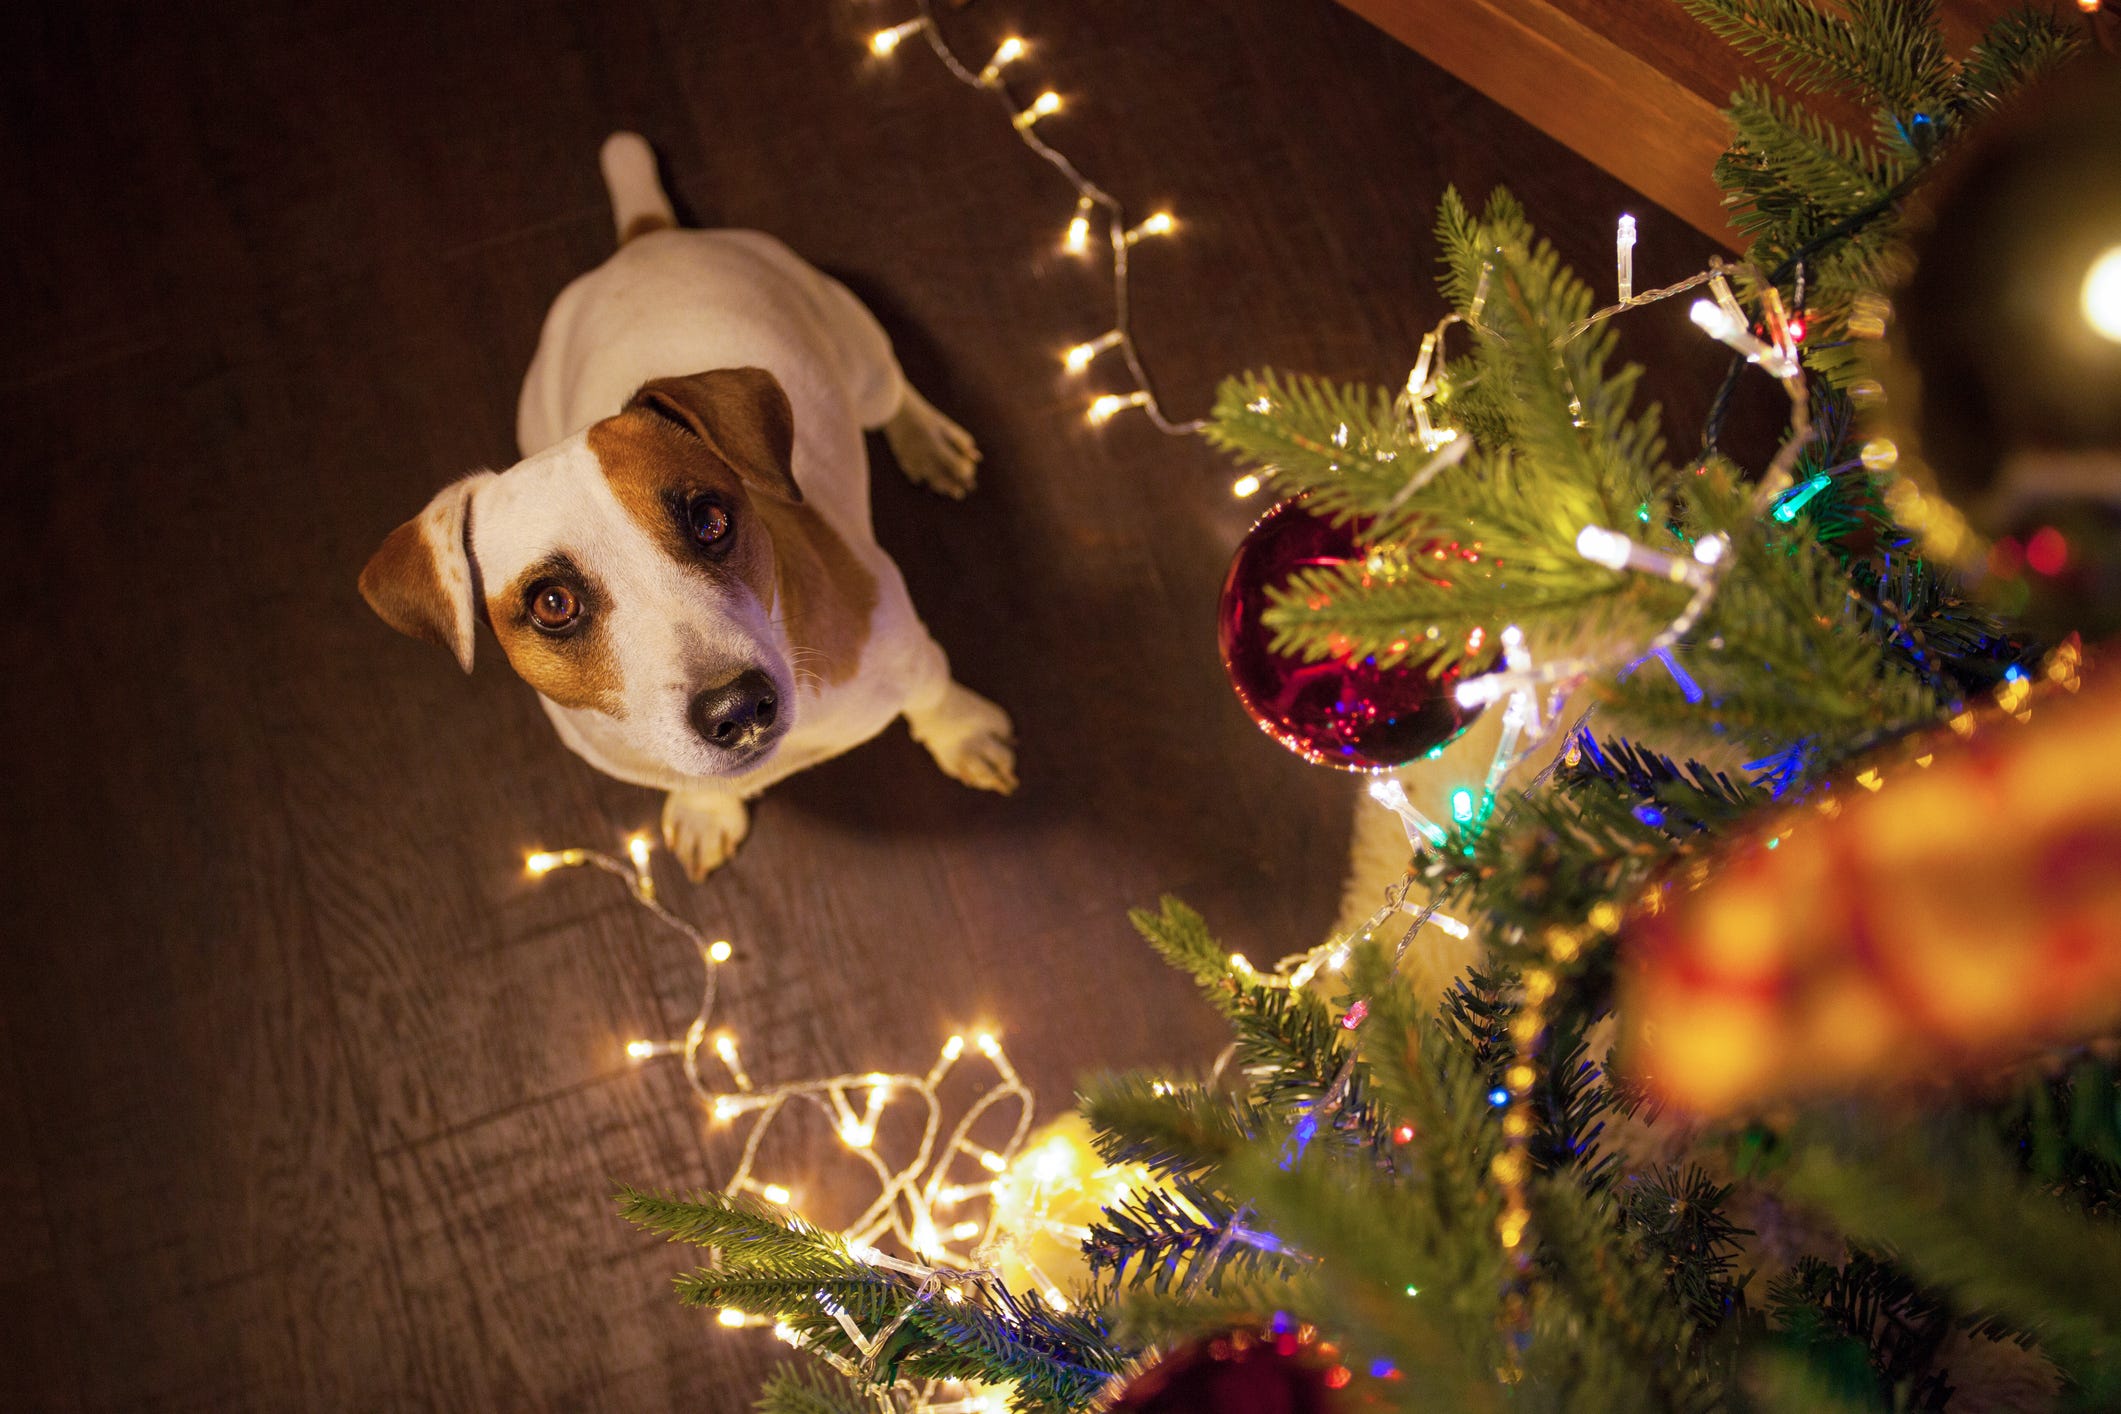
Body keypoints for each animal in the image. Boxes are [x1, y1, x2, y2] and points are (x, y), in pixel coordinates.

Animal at [362, 137, 1018, 877]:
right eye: (552, 604)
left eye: (710, 520)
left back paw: (928, 441)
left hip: (858, 352)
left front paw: (965, 736)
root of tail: (648, 239)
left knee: (894, 390)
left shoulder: (909, 650)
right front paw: (708, 811)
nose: (740, 704)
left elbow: (935, 696)